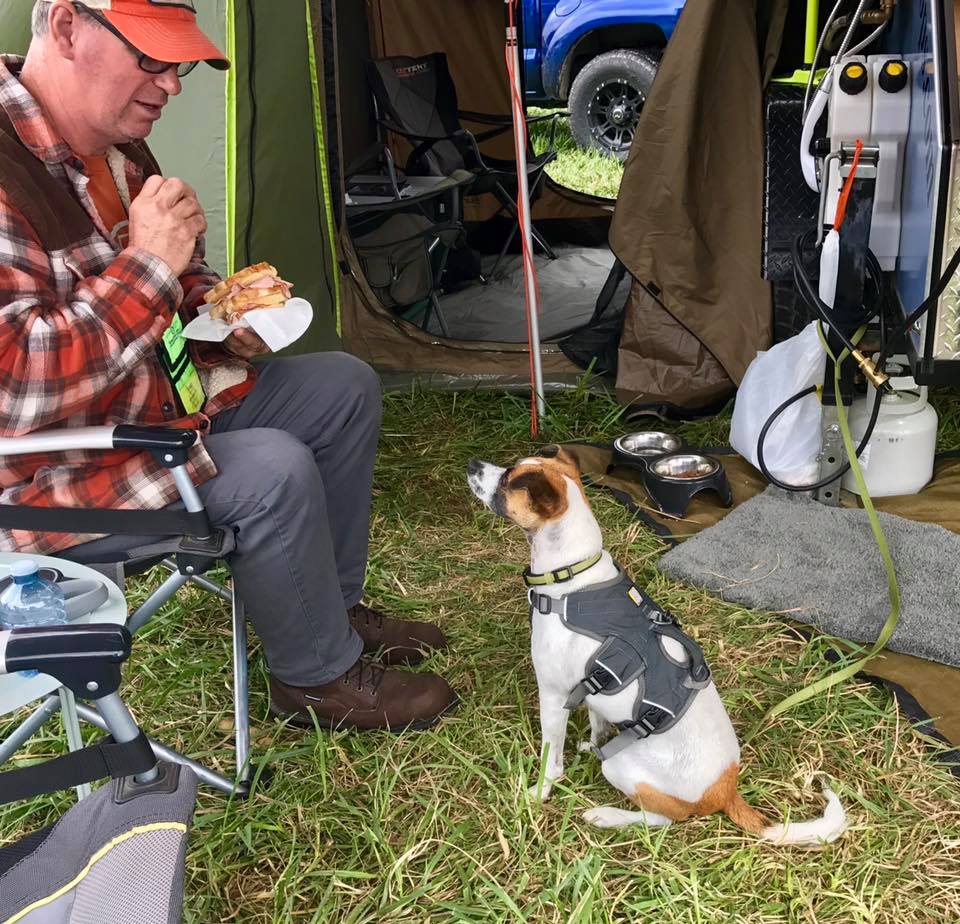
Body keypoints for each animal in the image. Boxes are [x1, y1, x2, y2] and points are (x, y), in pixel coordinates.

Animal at [468, 448, 844, 844]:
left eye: (508, 479)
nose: (472, 465)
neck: (572, 576)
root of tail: (725, 790)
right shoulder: (591, 690)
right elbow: (598, 722)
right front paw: (593, 741)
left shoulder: (554, 696)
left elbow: (550, 759)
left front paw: (539, 792)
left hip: (622, 768)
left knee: (663, 819)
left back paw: (608, 815)